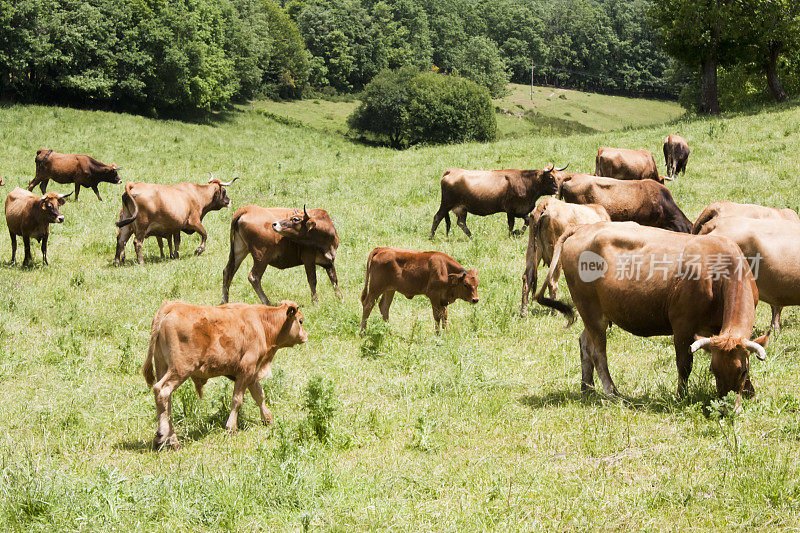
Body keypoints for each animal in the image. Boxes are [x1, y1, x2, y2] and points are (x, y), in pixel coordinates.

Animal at [144, 300, 306, 448]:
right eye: (300, 320)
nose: (305, 335)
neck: (261, 323)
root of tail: (171, 306)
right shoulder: (246, 371)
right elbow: (237, 400)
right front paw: (231, 428)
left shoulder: (252, 374)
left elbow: (259, 396)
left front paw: (268, 419)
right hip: (180, 369)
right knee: (162, 390)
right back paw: (163, 435)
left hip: (162, 366)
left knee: (166, 402)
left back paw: (171, 439)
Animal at [428, 162, 564, 237]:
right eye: (551, 177)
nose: (557, 189)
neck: (525, 182)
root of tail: (451, 171)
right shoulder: (511, 209)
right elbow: (511, 224)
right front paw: (512, 234)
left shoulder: (520, 209)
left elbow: (527, 220)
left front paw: (518, 232)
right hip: (446, 203)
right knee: (437, 217)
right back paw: (431, 236)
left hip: (461, 208)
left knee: (461, 223)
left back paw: (472, 236)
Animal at [536, 221, 768, 404]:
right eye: (713, 370)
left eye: (743, 371)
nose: (726, 407)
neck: (718, 274)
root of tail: (581, 228)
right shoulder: (682, 325)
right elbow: (684, 365)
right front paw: (681, 397)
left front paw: (751, 392)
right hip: (590, 310)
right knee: (597, 353)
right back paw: (612, 392)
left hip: (594, 314)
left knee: (584, 343)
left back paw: (587, 388)